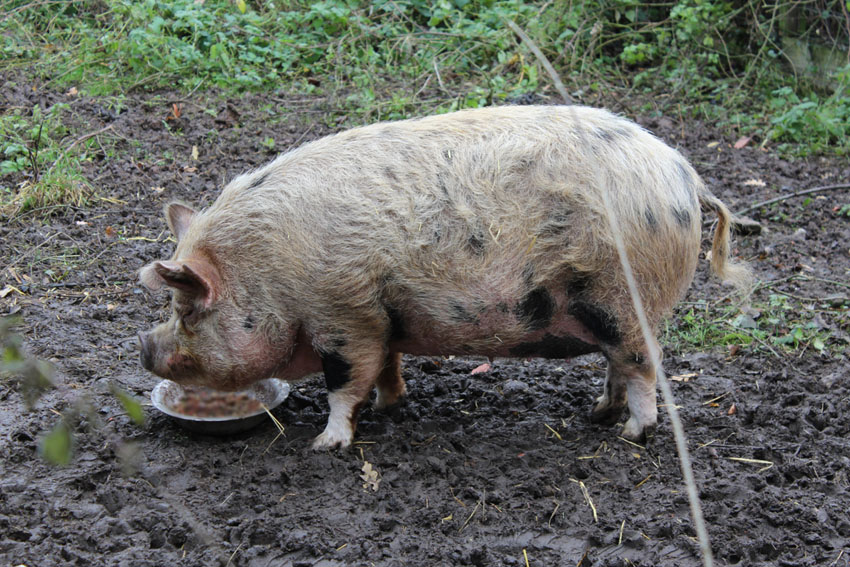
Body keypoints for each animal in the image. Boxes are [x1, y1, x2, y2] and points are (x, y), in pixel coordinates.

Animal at [138, 105, 751, 449]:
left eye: (186, 306)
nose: (145, 346)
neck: (268, 270)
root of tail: (685, 177)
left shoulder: (341, 316)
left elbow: (344, 383)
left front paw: (325, 445)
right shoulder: (379, 315)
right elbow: (386, 366)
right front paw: (389, 408)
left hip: (623, 298)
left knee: (644, 366)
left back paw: (632, 435)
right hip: (610, 309)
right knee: (619, 366)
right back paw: (598, 416)